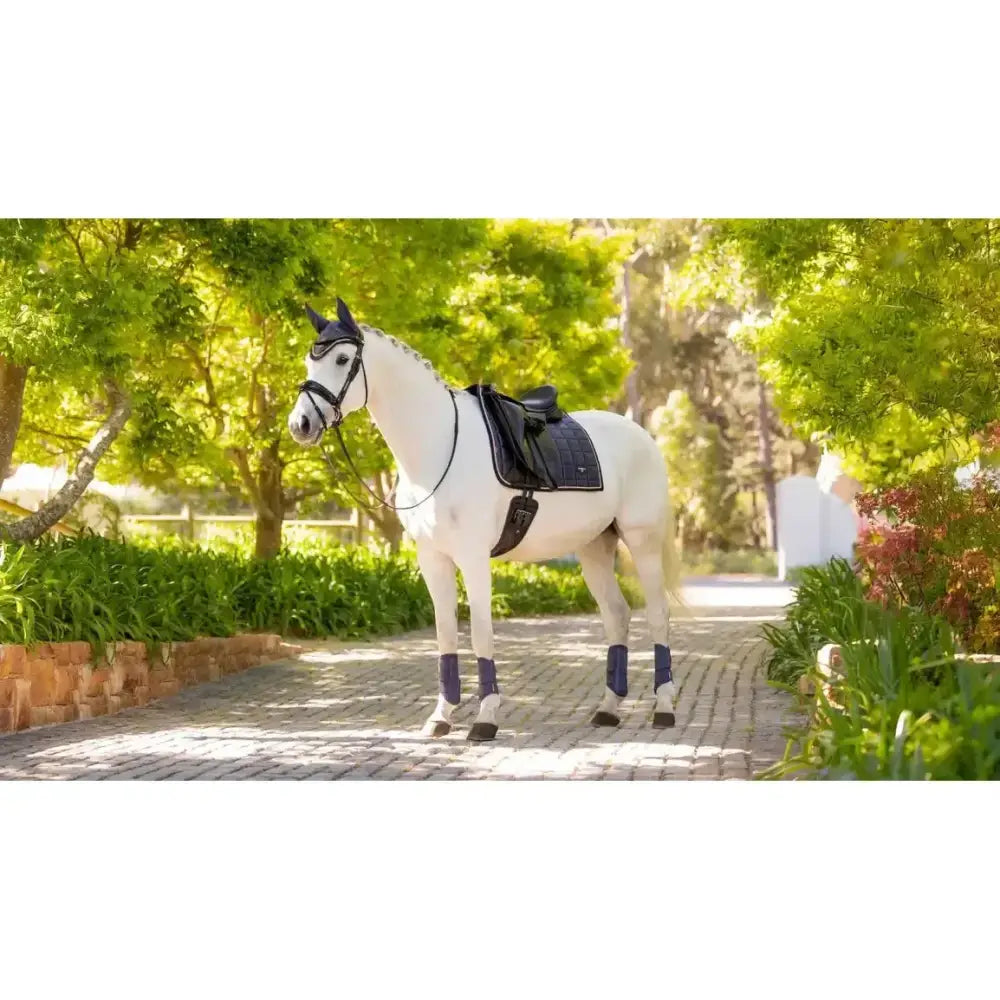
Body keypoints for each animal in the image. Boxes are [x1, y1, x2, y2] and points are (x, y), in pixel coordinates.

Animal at [287, 298, 680, 742]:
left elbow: (479, 631)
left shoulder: (474, 558)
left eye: (341, 359)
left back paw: (664, 709)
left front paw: (485, 718)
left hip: (642, 541)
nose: (301, 424)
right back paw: (608, 709)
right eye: (309, 359)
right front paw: (441, 717)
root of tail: (643, 436)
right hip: (595, 547)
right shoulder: (432, 559)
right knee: (617, 615)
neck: (439, 445)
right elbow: (445, 632)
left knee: (658, 614)